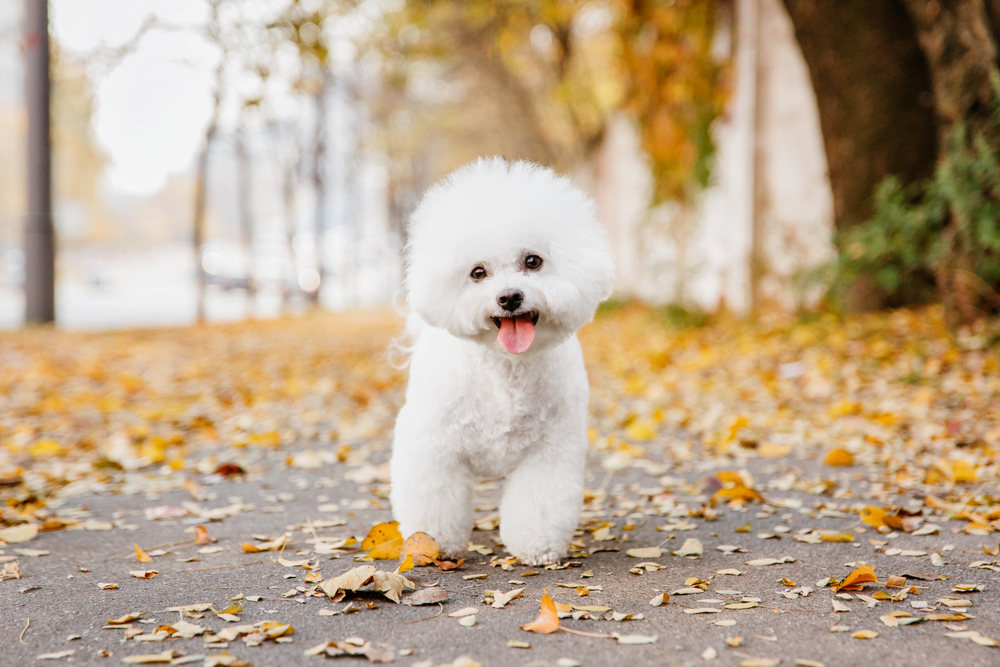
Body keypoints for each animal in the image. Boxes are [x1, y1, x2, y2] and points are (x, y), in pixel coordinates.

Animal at [390, 159, 616, 568]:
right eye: (478, 272)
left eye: (533, 261)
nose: (509, 297)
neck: (506, 371)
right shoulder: (433, 446)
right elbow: (433, 501)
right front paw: (430, 544)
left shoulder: (550, 451)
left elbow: (539, 504)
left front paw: (536, 547)